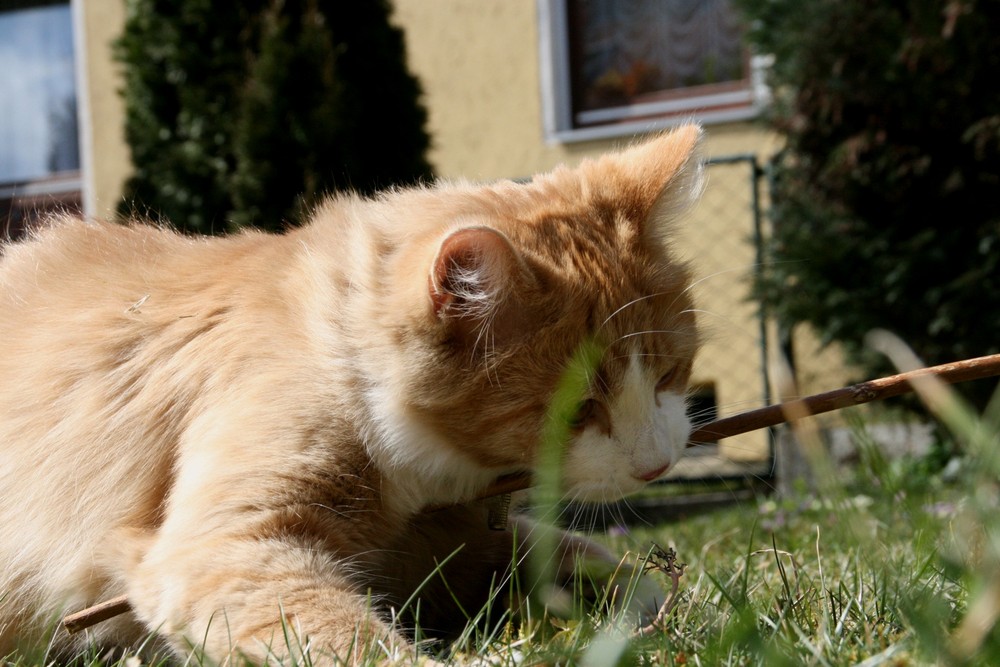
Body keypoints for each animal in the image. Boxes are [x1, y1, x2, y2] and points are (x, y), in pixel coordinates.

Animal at [0, 124, 704, 664]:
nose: (658, 465)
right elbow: (349, 640)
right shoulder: (225, 546)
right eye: (577, 411)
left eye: (670, 373)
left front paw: (668, 608)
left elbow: (591, 558)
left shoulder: (447, 541)